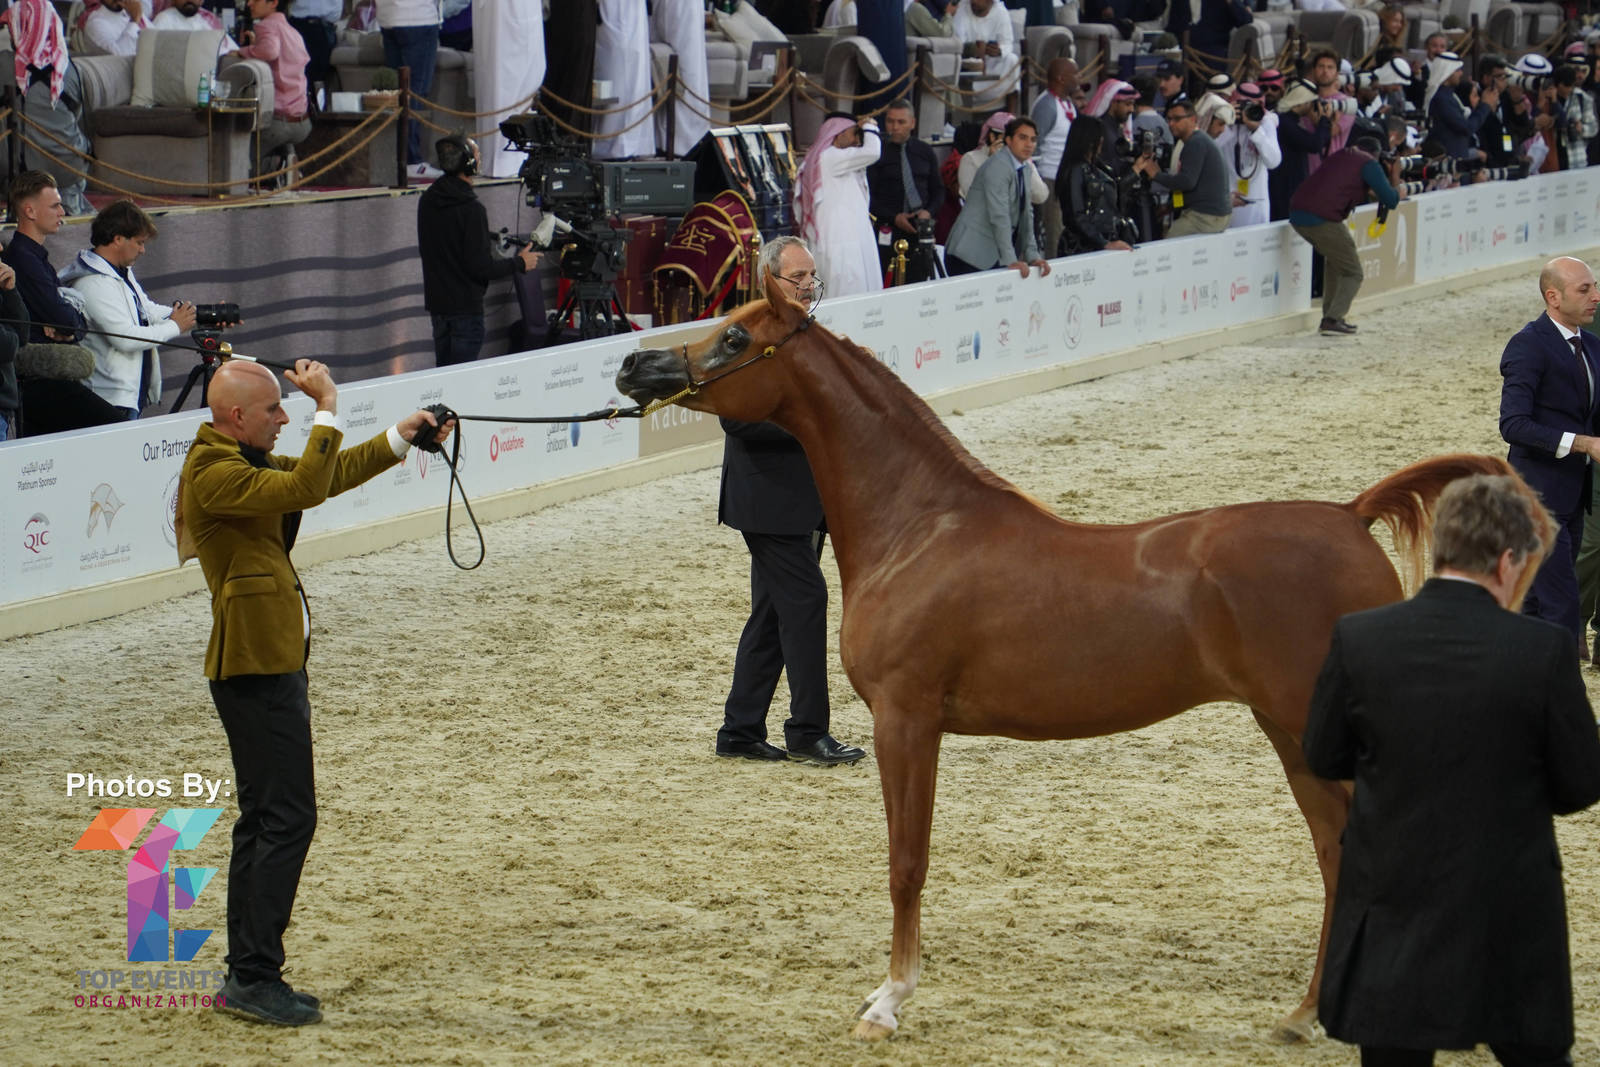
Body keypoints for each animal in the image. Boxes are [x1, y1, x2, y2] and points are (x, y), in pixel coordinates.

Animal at [614, 270, 1534, 1043]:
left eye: (737, 336)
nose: (633, 363)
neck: (920, 525)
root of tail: (1350, 515)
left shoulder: (906, 722)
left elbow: (906, 861)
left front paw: (888, 1000)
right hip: (1292, 735)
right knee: (1337, 850)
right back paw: (1303, 1014)